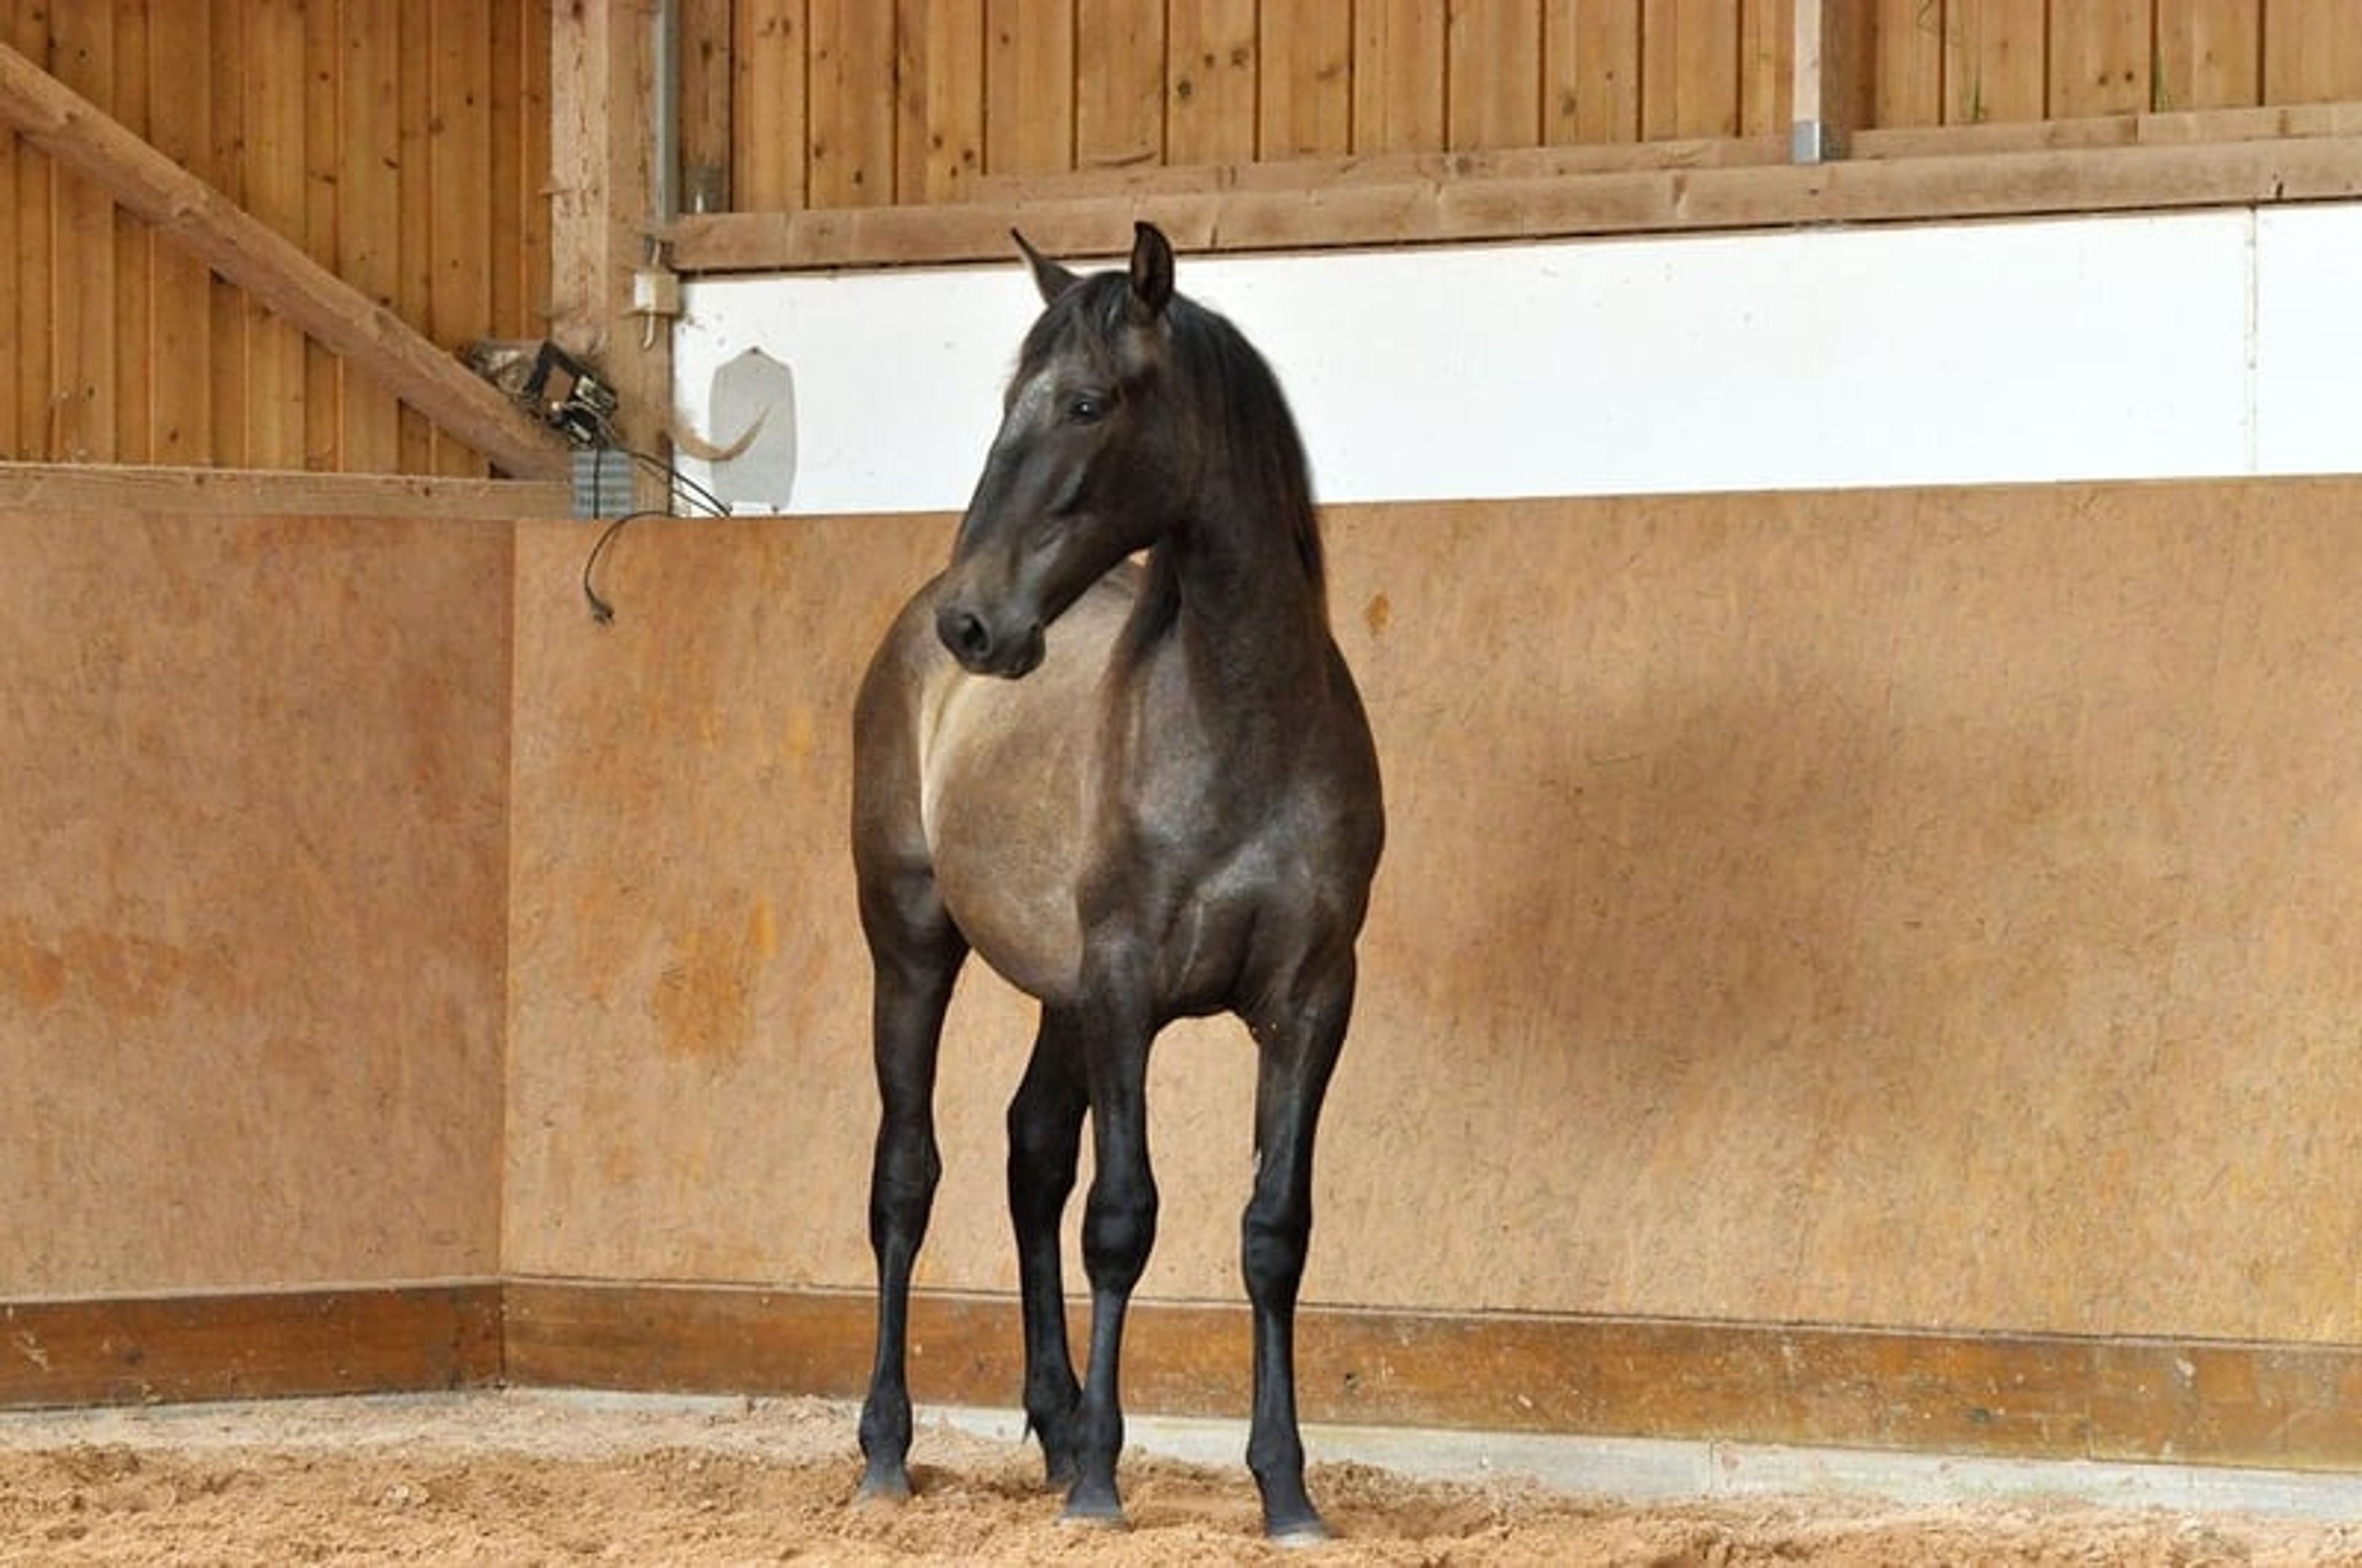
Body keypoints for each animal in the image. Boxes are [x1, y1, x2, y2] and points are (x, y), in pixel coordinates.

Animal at [848, 222, 1385, 1541]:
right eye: (1008, 403)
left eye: (1088, 402)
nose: (975, 624)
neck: (1241, 725)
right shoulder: (1130, 988)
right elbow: (1122, 1217)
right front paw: (1101, 1478)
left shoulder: (1309, 1000)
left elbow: (1272, 1230)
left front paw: (1285, 1487)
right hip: (914, 948)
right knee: (906, 1176)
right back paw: (891, 1446)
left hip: (1061, 997)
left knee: (1030, 1153)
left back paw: (1051, 1421)